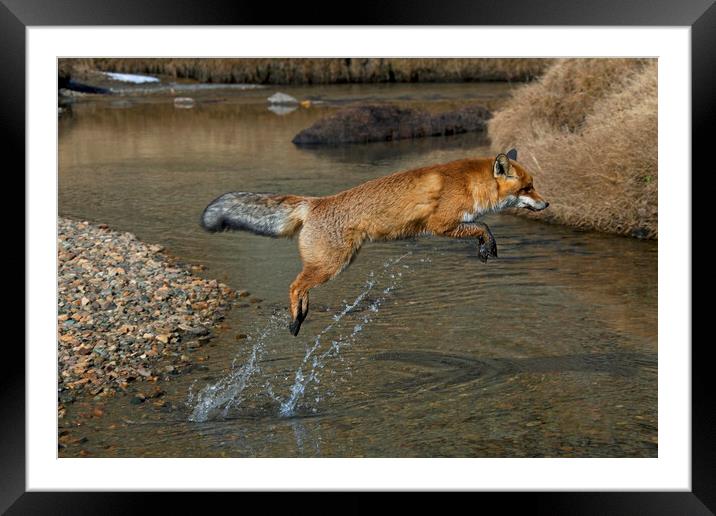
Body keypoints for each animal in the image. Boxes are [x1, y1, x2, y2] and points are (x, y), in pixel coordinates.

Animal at [201, 149, 548, 336]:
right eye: (527, 188)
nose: (547, 204)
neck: (468, 183)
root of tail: (316, 202)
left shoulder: (451, 225)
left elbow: (481, 226)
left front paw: (484, 250)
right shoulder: (440, 224)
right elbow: (484, 226)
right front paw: (488, 247)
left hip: (333, 263)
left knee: (302, 287)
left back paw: (302, 314)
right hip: (331, 265)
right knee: (294, 285)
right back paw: (296, 320)